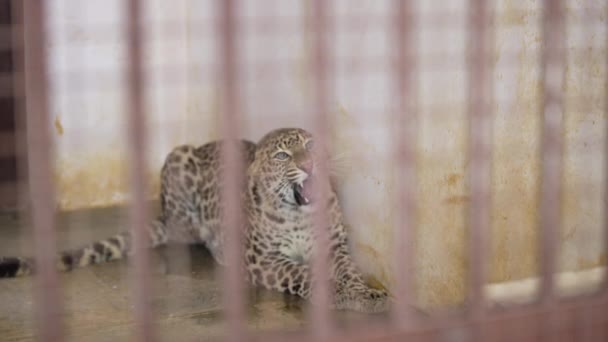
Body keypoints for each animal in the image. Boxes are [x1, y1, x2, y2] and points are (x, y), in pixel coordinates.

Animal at [0, 127, 390, 312]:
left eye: (309, 146)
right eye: (282, 155)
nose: (309, 164)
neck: (298, 214)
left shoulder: (334, 246)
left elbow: (349, 269)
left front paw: (362, 292)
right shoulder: (263, 261)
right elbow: (302, 272)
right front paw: (332, 291)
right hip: (177, 160)